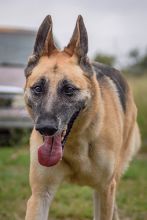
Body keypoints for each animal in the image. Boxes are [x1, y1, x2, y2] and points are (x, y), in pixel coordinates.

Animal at [24, 15, 141, 220]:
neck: (75, 144)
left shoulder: (105, 189)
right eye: (38, 88)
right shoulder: (39, 196)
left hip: (112, 180)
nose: (45, 128)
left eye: (69, 89)